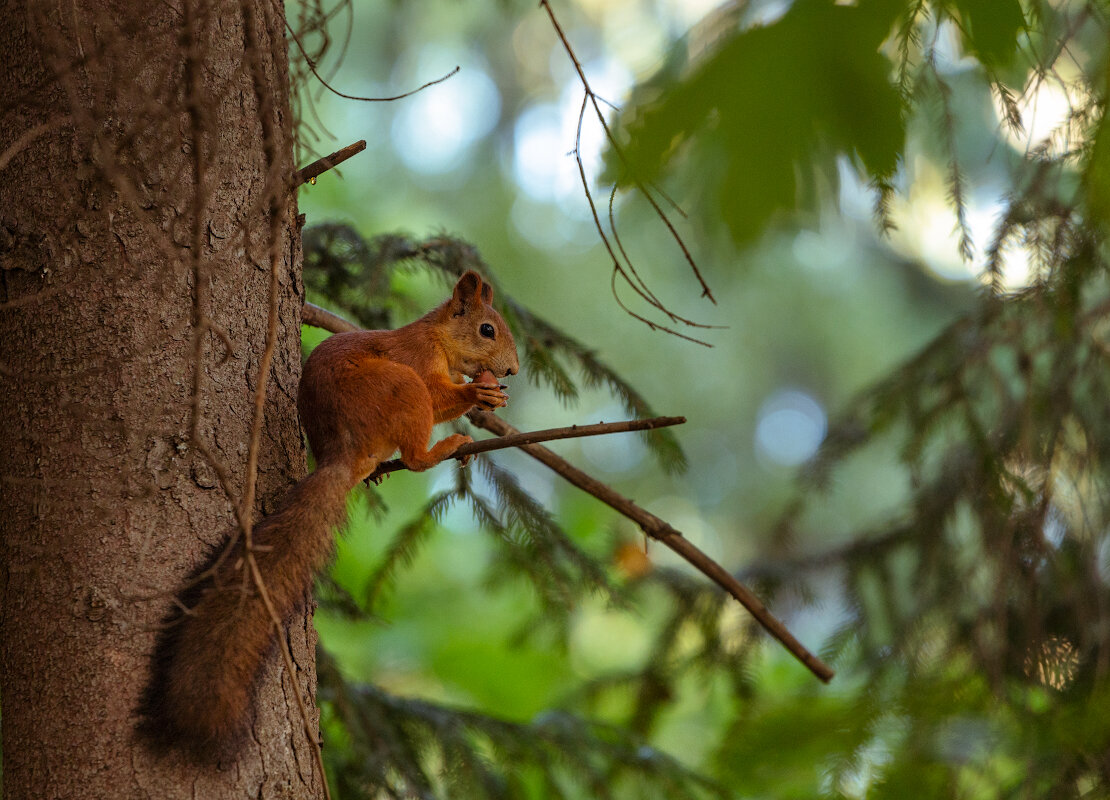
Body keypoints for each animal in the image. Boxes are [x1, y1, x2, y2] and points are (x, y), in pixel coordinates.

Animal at [142, 271, 515, 750]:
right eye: (487, 330)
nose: (512, 370)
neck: (439, 338)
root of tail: (345, 452)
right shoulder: (416, 356)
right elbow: (439, 394)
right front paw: (476, 391)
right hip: (400, 388)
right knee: (415, 454)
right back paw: (447, 446)